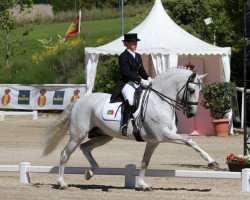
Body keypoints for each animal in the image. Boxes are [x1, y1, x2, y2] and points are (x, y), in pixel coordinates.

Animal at [43, 68, 219, 191]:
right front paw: (212, 162)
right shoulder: (164, 135)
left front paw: (142, 184)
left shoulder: (154, 141)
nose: (191, 114)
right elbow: (190, 141)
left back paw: (90, 172)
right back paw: (62, 183)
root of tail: (79, 101)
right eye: (191, 90)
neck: (160, 101)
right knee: (65, 153)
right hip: (78, 134)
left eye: (199, 91)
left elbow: (145, 162)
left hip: (104, 136)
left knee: (85, 147)